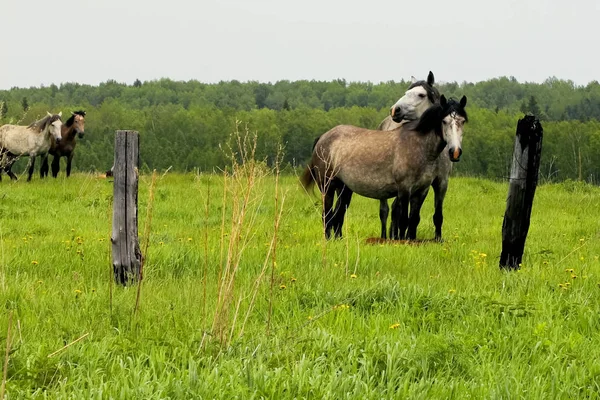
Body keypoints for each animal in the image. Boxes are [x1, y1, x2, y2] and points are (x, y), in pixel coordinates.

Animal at [302, 96, 466, 241]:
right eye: (444, 121)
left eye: (463, 121)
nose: (455, 152)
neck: (419, 146)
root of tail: (323, 138)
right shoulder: (405, 189)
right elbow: (403, 220)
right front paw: (402, 242)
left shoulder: (421, 190)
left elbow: (414, 219)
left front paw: (412, 240)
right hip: (327, 187)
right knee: (327, 215)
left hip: (344, 189)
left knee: (338, 215)